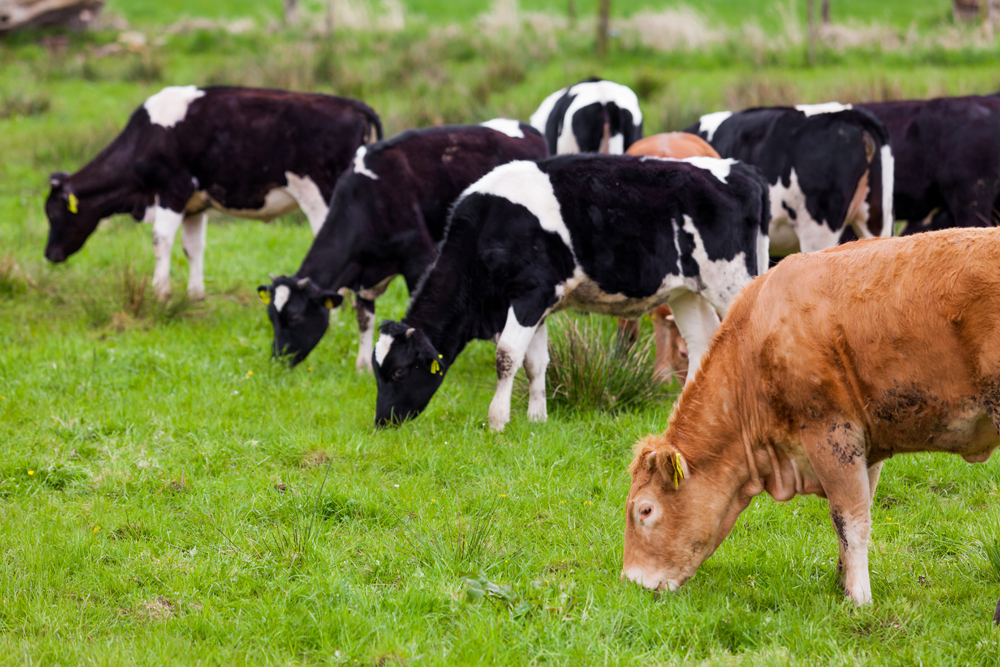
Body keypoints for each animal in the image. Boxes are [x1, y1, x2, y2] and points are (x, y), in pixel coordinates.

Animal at [45, 85, 382, 299]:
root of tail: (354, 105)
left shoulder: (173, 190)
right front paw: (195, 295)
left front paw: (160, 293)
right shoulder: (195, 205)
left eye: (54, 212)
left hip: (321, 199)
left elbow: (160, 240)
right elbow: (193, 247)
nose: (49, 254)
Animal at [257, 120, 548, 370]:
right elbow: (364, 317)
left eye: (294, 318)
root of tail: (529, 129)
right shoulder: (363, 270)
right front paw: (362, 366)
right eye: (271, 317)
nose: (278, 359)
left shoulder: (419, 258)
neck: (368, 200)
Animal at [372, 154, 771, 430]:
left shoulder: (530, 293)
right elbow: (535, 362)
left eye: (399, 372)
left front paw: (498, 420)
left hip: (732, 281)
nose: (382, 421)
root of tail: (742, 170)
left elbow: (506, 356)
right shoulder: (538, 304)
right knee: (703, 344)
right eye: (377, 371)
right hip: (687, 291)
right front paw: (536, 418)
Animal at [623, 228, 1000, 607]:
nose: (632, 581)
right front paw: (842, 581)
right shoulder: (867, 445)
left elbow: (850, 519)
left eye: (645, 510)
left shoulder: (831, 433)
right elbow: (853, 517)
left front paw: (859, 598)